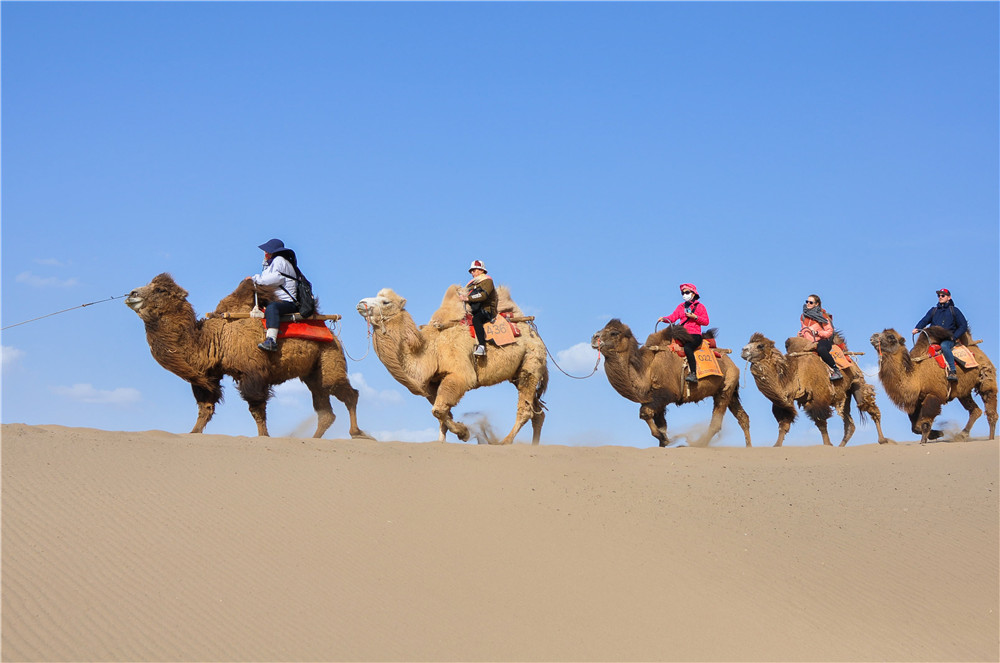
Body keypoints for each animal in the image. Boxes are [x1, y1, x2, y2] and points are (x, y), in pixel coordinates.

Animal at [126, 273, 369, 439]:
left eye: (160, 290)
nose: (131, 294)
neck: (214, 339)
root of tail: (332, 333)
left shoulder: (253, 372)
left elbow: (256, 408)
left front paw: (264, 437)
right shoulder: (209, 375)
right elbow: (205, 407)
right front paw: (192, 433)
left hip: (329, 357)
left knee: (347, 393)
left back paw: (357, 433)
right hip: (312, 372)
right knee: (325, 409)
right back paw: (314, 438)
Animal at [356, 287, 548, 444]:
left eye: (385, 302)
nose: (360, 303)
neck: (430, 350)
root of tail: (534, 332)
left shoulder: (460, 374)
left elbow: (439, 410)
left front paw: (464, 433)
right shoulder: (433, 384)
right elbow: (443, 414)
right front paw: (441, 441)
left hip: (531, 362)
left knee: (526, 409)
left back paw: (504, 442)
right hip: (519, 372)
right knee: (538, 412)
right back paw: (534, 445)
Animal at [590, 320, 751, 447]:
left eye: (614, 333)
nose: (594, 337)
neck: (646, 369)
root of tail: (733, 364)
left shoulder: (666, 393)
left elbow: (645, 413)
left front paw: (666, 439)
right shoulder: (654, 399)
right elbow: (661, 424)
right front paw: (663, 441)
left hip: (725, 387)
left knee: (717, 421)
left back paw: (696, 443)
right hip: (729, 389)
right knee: (742, 416)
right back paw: (748, 446)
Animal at [740, 333, 889, 446]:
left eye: (760, 345)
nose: (743, 350)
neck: (793, 374)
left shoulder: (818, 397)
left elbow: (821, 422)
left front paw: (828, 445)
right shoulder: (785, 402)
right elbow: (784, 423)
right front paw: (777, 445)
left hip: (858, 382)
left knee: (870, 408)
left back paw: (882, 440)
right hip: (844, 396)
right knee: (849, 423)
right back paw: (841, 446)